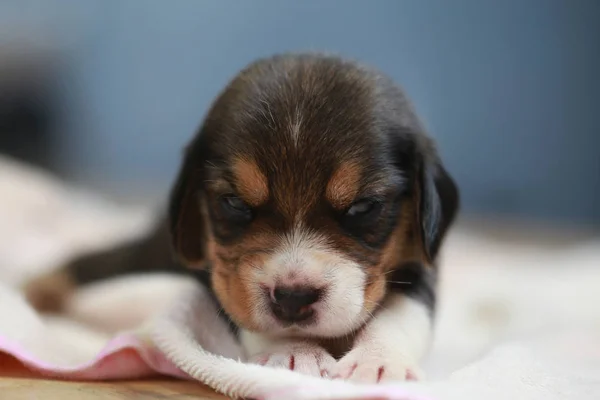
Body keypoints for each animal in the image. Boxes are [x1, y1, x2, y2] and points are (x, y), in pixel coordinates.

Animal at [21, 52, 458, 382]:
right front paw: (293, 351)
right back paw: (36, 289)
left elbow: (403, 314)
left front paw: (378, 362)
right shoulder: (219, 275)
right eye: (234, 203)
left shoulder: (420, 267)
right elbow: (244, 309)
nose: (294, 297)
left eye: (363, 207)